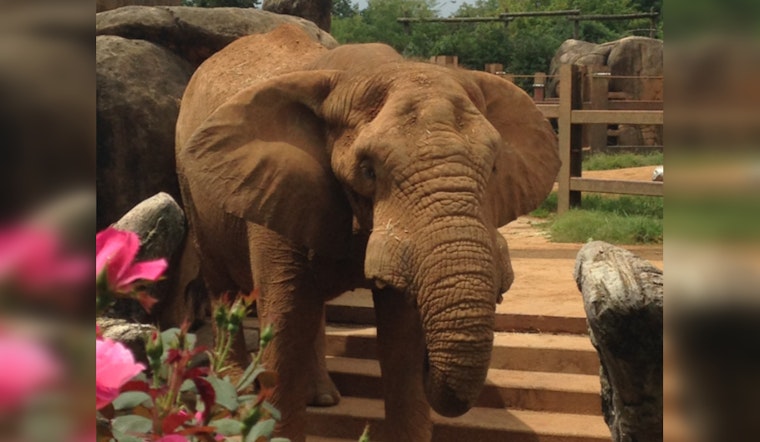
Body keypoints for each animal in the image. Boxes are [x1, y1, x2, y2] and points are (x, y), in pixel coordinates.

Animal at [175, 24, 560, 441]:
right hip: (192, 188)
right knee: (224, 286)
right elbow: (285, 325)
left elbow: (401, 340)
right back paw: (233, 399)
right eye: (368, 170)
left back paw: (322, 398)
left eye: (492, 168)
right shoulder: (273, 190)